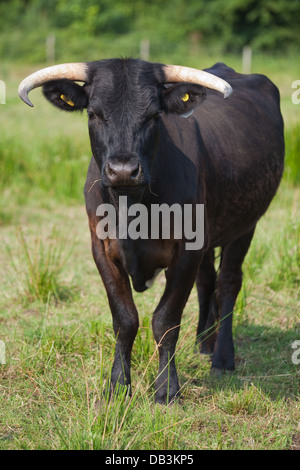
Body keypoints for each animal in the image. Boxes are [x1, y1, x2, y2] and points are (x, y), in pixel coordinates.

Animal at [18, 58, 284, 404]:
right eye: (94, 114)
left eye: (154, 116)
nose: (122, 171)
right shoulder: (102, 249)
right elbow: (125, 319)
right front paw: (118, 386)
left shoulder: (186, 251)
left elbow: (166, 320)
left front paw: (167, 389)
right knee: (207, 281)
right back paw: (204, 342)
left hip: (245, 226)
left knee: (228, 284)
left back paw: (222, 356)